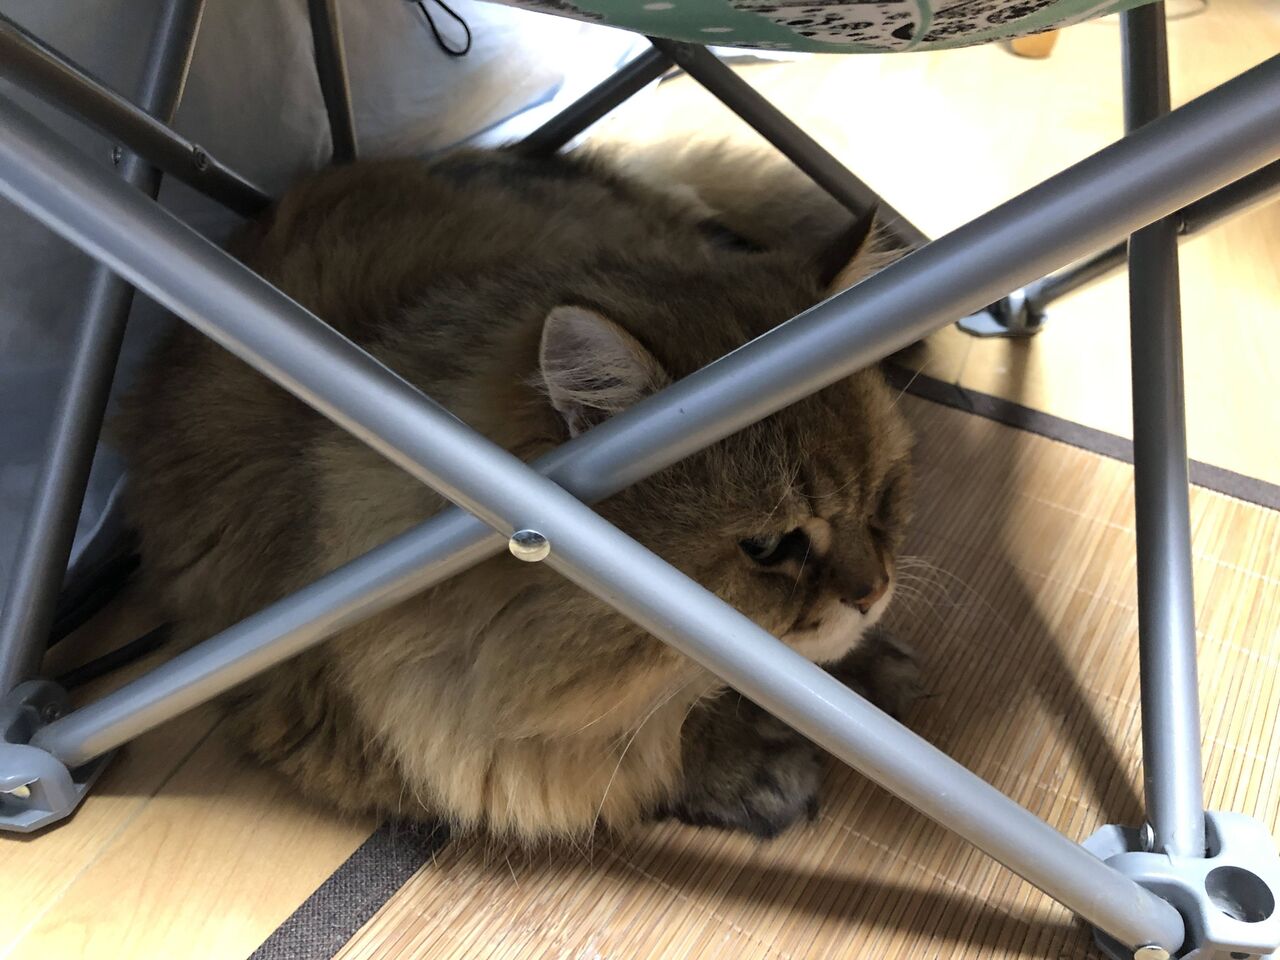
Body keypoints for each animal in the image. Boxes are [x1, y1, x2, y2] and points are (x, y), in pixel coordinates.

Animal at [112, 144, 919, 841]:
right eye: (768, 547)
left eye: (883, 498)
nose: (873, 593)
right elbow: (653, 744)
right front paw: (755, 764)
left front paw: (865, 676)